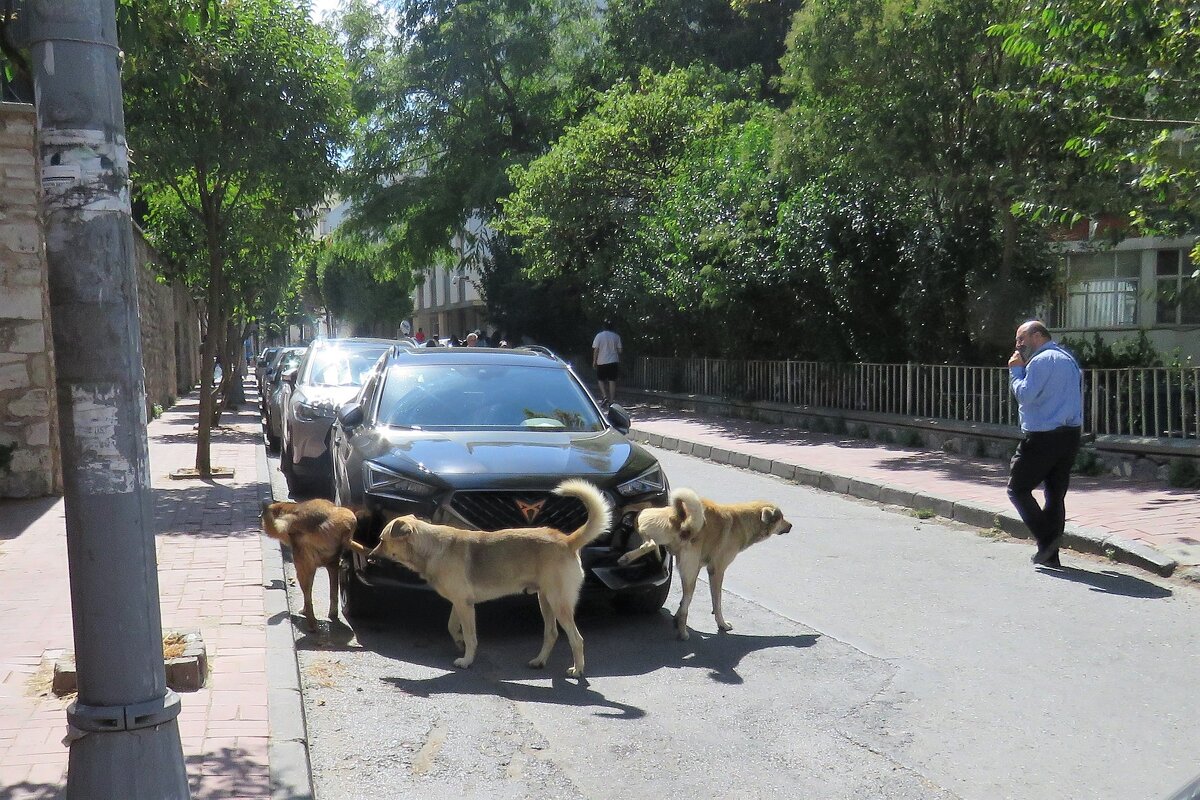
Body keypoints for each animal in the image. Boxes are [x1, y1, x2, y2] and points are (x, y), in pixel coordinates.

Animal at [262, 501, 369, 633]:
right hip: (329, 563)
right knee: (332, 594)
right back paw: (331, 614)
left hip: (302, 568)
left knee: (308, 598)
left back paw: (311, 624)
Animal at [367, 479, 614, 681]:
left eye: (382, 540)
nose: (369, 556)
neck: (432, 547)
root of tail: (567, 540)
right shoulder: (460, 602)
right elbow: (451, 626)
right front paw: (459, 643)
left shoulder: (465, 605)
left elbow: (470, 635)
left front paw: (467, 660)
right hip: (545, 601)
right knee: (551, 634)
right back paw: (539, 661)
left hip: (558, 602)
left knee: (576, 639)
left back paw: (577, 669)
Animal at [619, 484, 796, 642]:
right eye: (781, 518)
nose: (791, 525)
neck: (743, 520)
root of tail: (682, 520)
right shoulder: (717, 571)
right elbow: (717, 601)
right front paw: (722, 624)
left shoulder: (699, 567)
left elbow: (684, 603)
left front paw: (676, 618)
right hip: (690, 573)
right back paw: (682, 634)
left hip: (648, 518)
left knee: (646, 538)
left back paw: (628, 557)